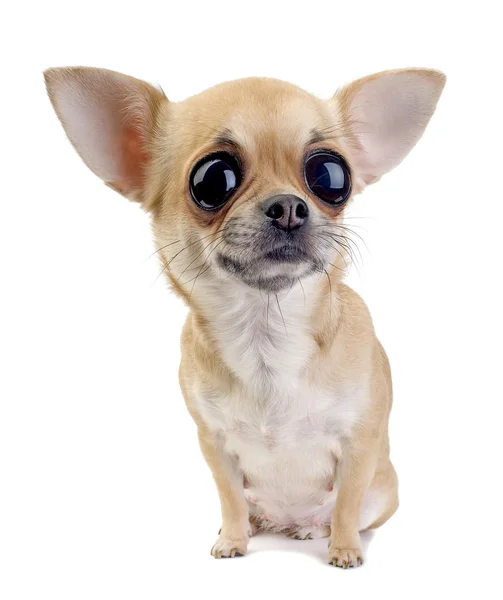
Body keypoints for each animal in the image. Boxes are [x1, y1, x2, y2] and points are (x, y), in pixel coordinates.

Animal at [43, 67, 444, 568]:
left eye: (331, 175)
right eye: (213, 180)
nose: (290, 205)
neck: (266, 330)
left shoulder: (360, 444)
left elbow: (348, 502)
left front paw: (345, 549)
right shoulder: (215, 447)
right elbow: (230, 498)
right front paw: (233, 540)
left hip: (384, 490)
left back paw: (316, 530)